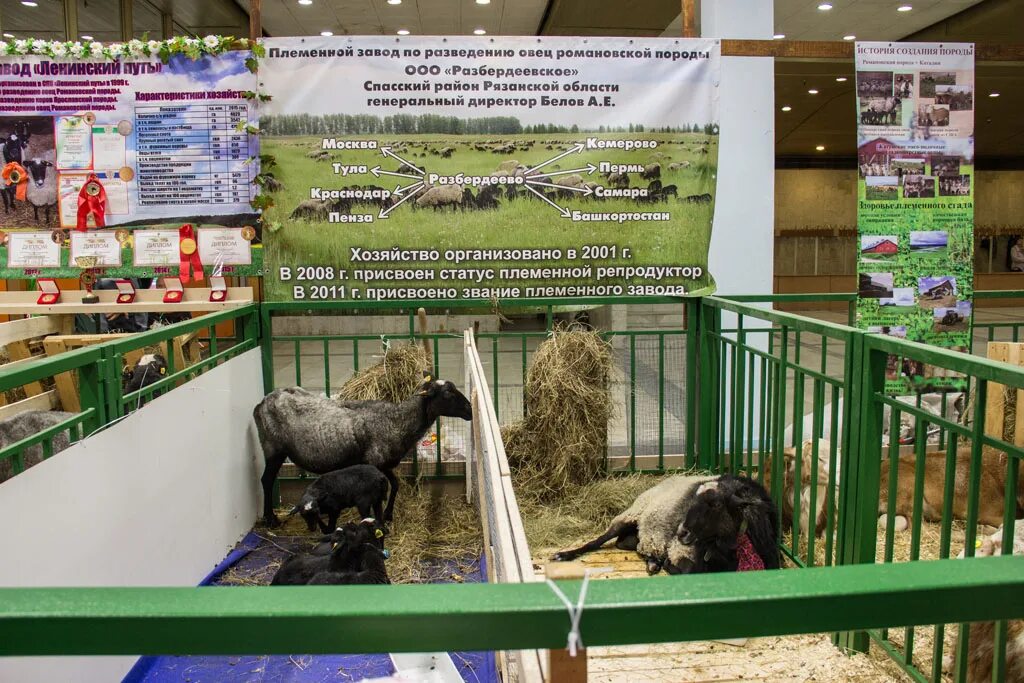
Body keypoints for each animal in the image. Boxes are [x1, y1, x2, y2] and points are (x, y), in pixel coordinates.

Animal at [256, 376, 471, 528]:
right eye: (447, 393)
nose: (469, 409)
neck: (396, 421)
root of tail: (263, 402)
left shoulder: (384, 464)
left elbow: (395, 484)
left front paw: (388, 514)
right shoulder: (373, 463)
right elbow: (385, 487)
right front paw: (379, 518)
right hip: (274, 449)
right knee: (266, 480)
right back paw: (270, 519)